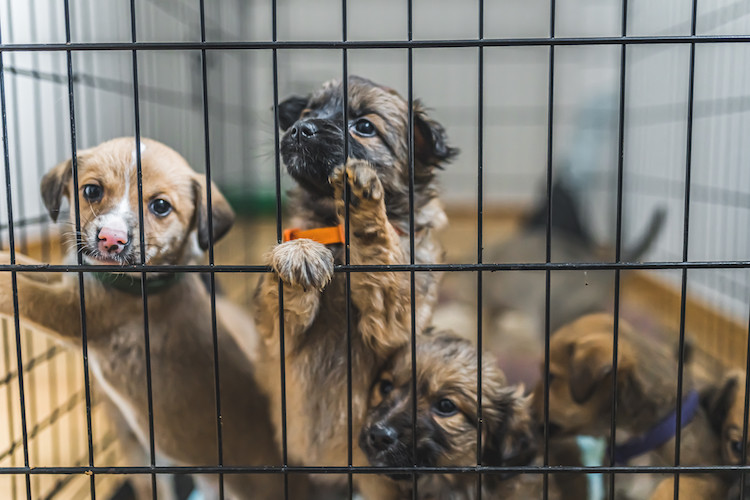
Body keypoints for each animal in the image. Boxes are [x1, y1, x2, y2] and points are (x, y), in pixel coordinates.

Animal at [0, 138, 300, 500]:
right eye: (91, 190)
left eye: (160, 206)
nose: (111, 239)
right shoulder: (68, 283)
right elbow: (23, 265)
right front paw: (6, 255)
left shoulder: (75, 312)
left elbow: (25, 293)